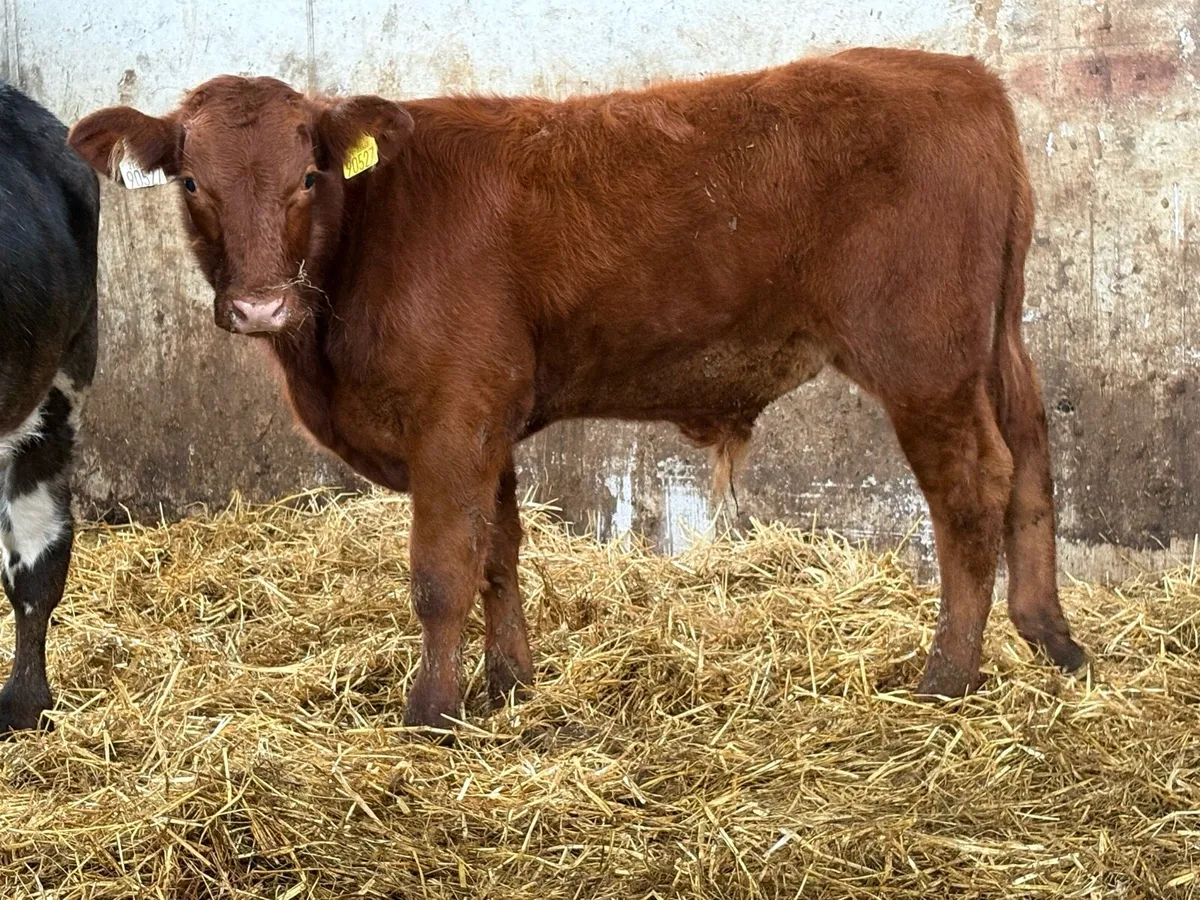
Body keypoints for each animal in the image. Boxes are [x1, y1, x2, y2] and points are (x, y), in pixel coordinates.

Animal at [69, 48, 1086, 730]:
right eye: (191, 182)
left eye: (310, 173)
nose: (259, 304)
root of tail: (963, 76)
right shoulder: (486, 421)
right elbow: (499, 554)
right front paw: (508, 685)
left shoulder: (453, 416)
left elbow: (441, 572)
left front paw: (431, 712)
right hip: (996, 340)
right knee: (1033, 456)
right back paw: (1052, 639)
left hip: (924, 358)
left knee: (972, 491)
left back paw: (947, 678)